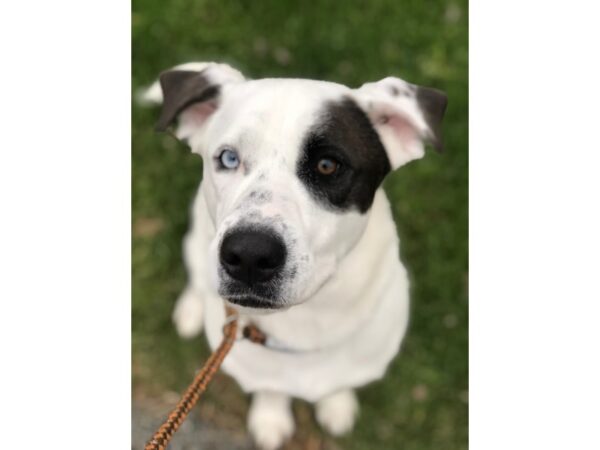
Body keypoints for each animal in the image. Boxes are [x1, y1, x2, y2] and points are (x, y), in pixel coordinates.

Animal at [143, 61, 448, 448]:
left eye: (328, 166)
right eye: (228, 158)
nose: (249, 255)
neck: (307, 322)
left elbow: (341, 383)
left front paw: (337, 405)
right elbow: (272, 389)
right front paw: (271, 417)